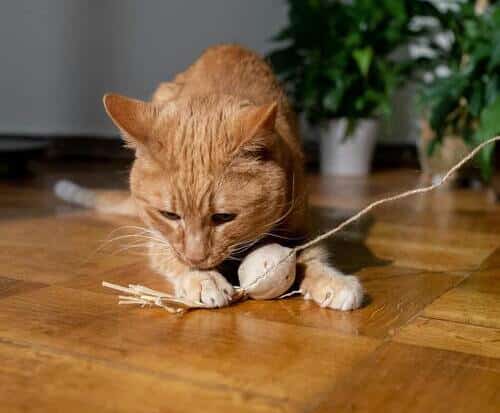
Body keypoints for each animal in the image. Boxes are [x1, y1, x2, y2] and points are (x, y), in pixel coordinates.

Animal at [55, 45, 364, 308]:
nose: (197, 257)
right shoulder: (158, 238)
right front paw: (202, 279)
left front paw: (332, 280)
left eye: (224, 217)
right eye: (169, 215)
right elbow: (170, 255)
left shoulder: (303, 224)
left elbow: (313, 255)